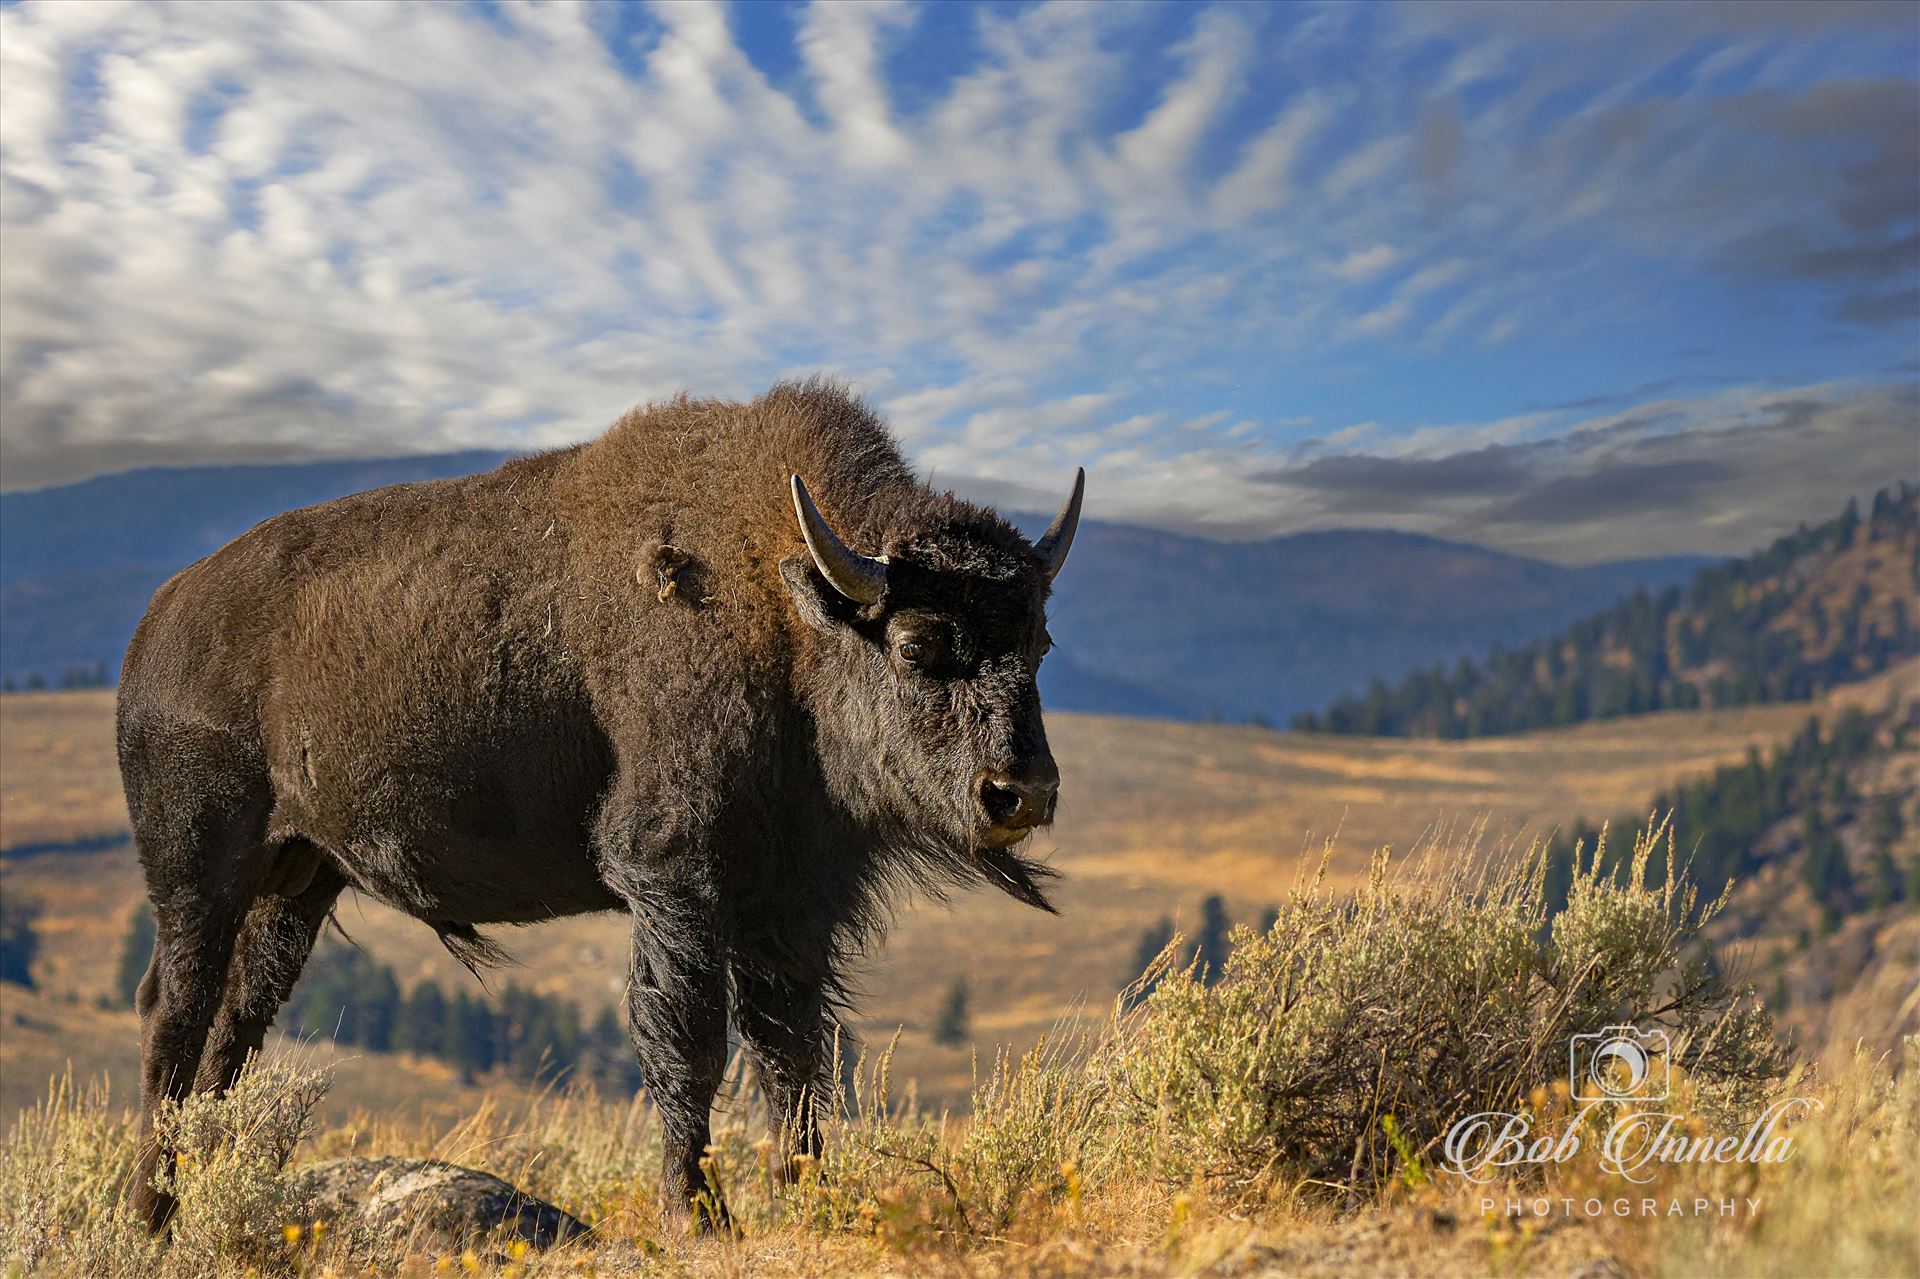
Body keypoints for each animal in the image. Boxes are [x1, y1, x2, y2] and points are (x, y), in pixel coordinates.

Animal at [116, 378, 1082, 1229]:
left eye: (1039, 641)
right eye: (918, 645)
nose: (1022, 791)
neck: (785, 611)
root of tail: (157, 624)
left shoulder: (793, 907)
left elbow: (795, 1057)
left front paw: (813, 1198)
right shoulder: (675, 879)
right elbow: (689, 1045)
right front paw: (697, 1217)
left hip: (300, 880)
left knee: (238, 1023)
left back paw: (204, 1188)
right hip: (199, 868)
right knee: (176, 1010)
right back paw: (150, 1211)